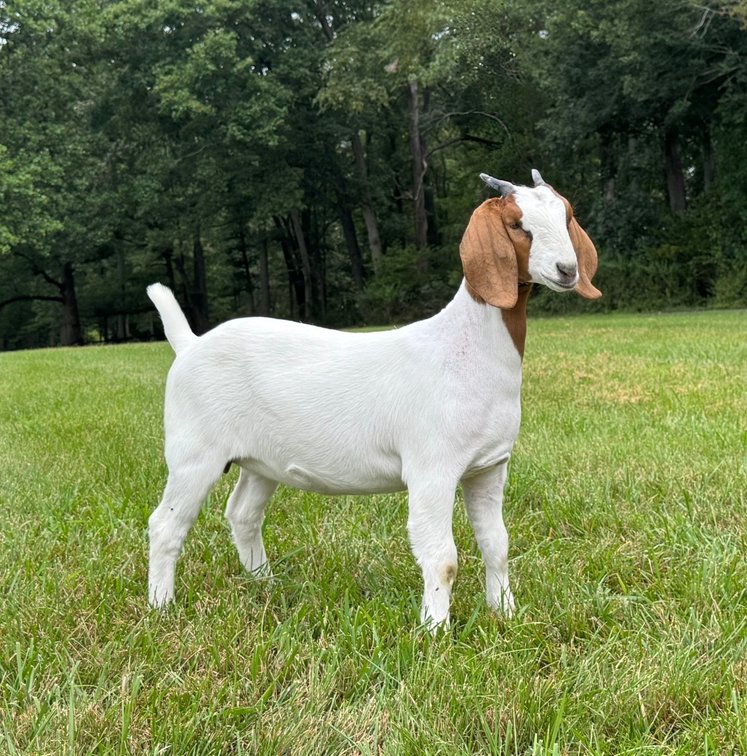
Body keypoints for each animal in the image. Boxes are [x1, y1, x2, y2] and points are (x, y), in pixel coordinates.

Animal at [146, 170, 601, 629]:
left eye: (566, 216)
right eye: (516, 225)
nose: (567, 269)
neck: (466, 349)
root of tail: (189, 344)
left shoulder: (489, 467)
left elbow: (497, 543)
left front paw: (505, 613)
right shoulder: (431, 470)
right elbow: (443, 558)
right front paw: (435, 629)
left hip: (261, 462)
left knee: (243, 514)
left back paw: (266, 584)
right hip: (194, 454)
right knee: (165, 525)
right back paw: (161, 606)